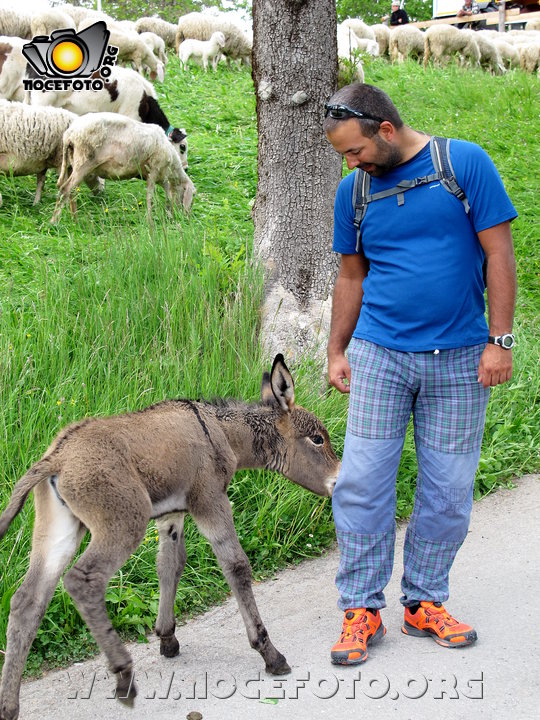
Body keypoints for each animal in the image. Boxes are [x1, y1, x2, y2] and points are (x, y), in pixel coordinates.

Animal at [0, 356, 338, 720]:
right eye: (317, 439)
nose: (338, 481)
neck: (221, 433)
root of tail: (59, 456)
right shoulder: (210, 501)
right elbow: (236, 567)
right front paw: (269, 653)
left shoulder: (172, 515)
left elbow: (170, 566)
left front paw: (166, 638)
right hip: (123, 524)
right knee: (82, 580)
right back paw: (123, 675)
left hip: (58, 531)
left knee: (27, 601)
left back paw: (9, 705)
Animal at [51, 112, 196, 222]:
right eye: (193, 195)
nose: (186, 216)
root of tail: (69, 134)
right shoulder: (154, 171)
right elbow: (151, 197)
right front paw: (152, 220)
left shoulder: (161, 176)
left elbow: (166, 195)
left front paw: (168, 214)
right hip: (84, 163)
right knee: (65, 189)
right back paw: (54, 222)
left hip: (71, 164)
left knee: (72, 192)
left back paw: (74, 219)